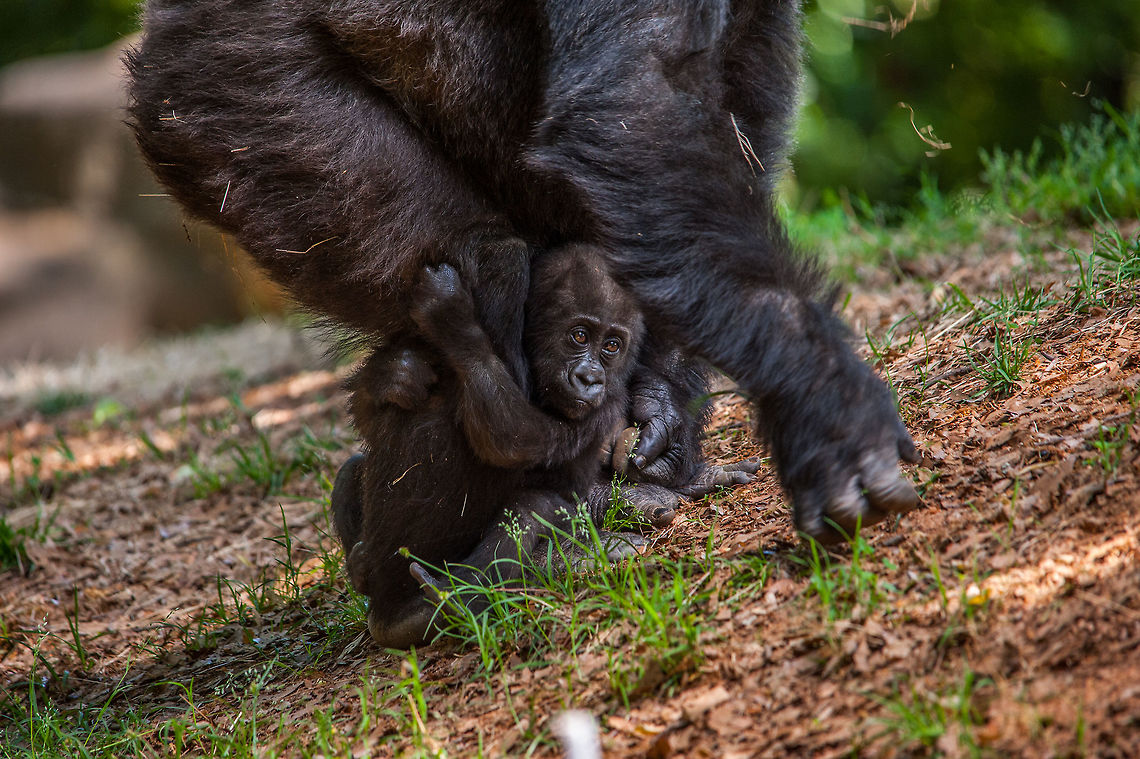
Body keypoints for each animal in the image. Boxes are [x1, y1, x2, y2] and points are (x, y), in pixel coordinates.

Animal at [127, 0, 919, 548]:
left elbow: (723, 116)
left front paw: (662, 402)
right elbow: (636, 113)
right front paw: (826, 403)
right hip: (243, 105)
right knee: (487, 260)